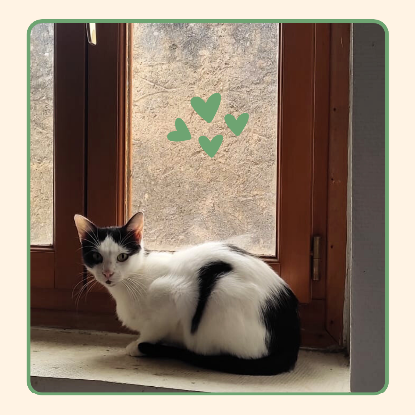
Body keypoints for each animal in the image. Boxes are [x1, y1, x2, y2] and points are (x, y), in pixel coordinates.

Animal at [74, 212, 300, 376]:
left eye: (122, 257)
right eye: (96, 256)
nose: (108, 273)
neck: (132, 281)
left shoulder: (174, 295)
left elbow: (153, 330)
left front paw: (138, 346)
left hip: (222, 292)